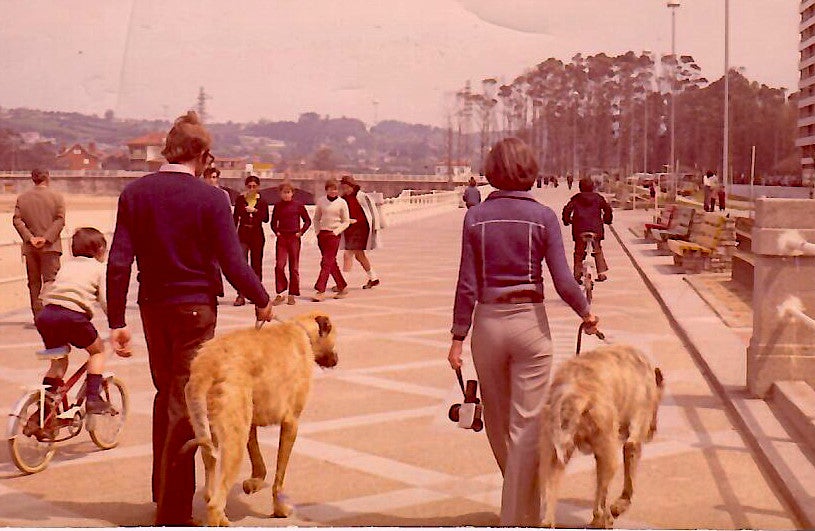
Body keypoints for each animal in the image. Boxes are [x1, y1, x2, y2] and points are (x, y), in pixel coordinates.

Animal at [184, 314, 338, 524]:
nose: (336, 360)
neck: (303, 330)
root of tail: (205, 367)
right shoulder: (291, 423)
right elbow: (279, 476)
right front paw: (280, 508)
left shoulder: (250, 422)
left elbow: (256, 454)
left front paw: (255, 481)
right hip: (234, 444)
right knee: (215, 504)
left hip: (210, 435)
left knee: (210, 491)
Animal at [540, 344, 664, 528]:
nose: (652, 431)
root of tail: (572, 395)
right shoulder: (631, 440)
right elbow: (628, 480)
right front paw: (621, 505)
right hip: (610, 457)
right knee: (600, 500)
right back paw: (604, 519)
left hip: (553, 456)